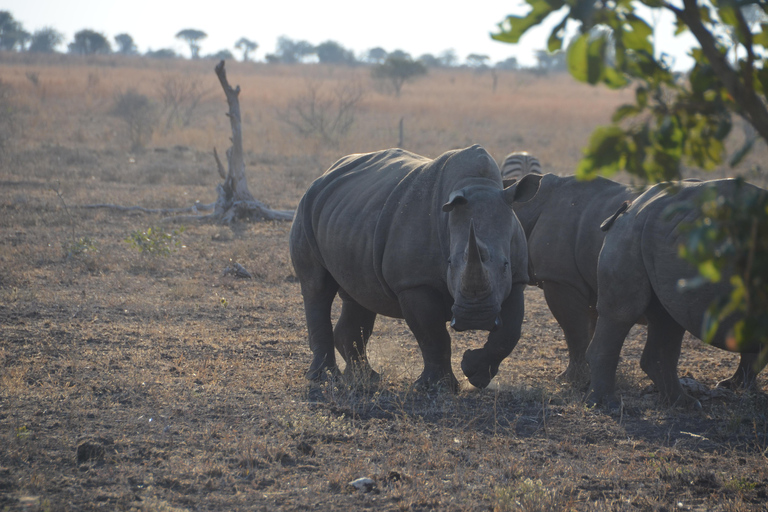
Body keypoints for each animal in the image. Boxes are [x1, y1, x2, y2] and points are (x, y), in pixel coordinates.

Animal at [290, 145, 540, 392]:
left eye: (505, 265)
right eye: (450, 263)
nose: (476, 318)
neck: (477, 183)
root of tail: (326, 174)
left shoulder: (517, 279)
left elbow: (509, 333)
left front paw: (474, 373)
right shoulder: (414, 283)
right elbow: (433, 335)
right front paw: (437, 387)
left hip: (351, 220)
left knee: (359, 294)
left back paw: (366, 378)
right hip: (306, 207)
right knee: (317, 288)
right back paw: (324, 379)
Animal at [584, 178, 764, 406]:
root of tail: (633, 204)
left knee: (667, 318)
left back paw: (684, 403)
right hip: (631, 231)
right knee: (623, 313)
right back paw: (606, 405)